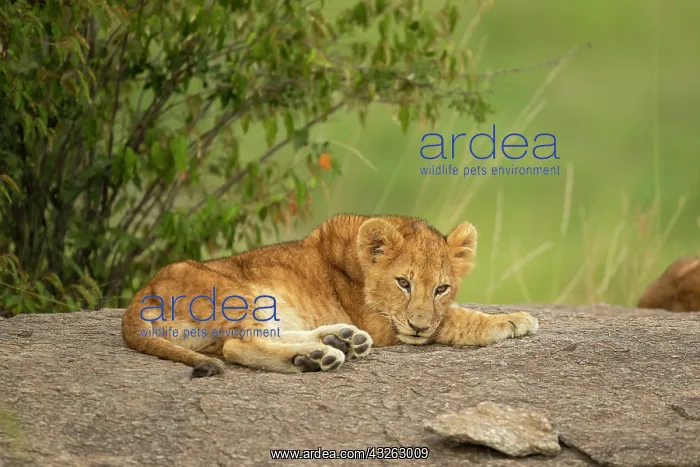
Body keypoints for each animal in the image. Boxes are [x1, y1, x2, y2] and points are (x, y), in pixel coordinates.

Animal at [121, 214, 538, 377]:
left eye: (441, 288)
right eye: (403, 283)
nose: (418, 326)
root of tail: (143, 293)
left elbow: (449, 312)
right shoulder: (386, 326)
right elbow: (455, 319)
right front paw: (514, 319)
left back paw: (336, 341)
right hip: (234, 293)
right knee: (237, 345)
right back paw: (319, 356)